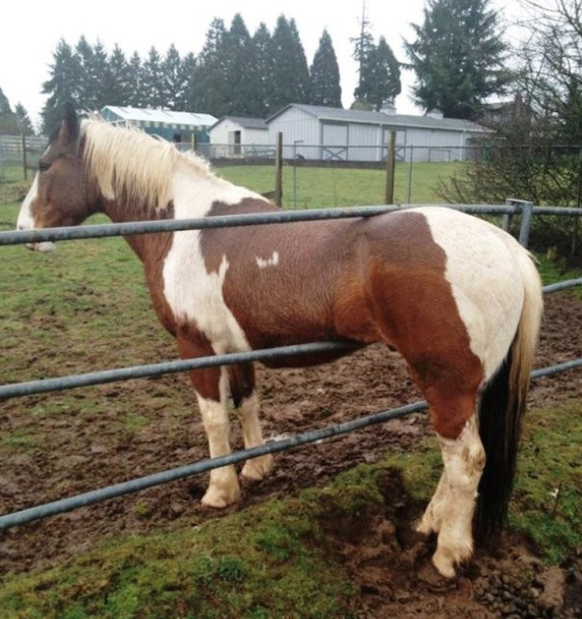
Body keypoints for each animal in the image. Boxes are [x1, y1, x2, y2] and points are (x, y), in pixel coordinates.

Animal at [18, 108, 548, 580]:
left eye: (44, 164)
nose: (24, 232)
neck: (184, 224)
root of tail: (504, 245)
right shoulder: (238, 347)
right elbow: (247, 405)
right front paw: (255, 470)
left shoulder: (196, 347)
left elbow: (214, 419)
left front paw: (219, 491)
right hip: (463, 385)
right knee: (454, 457)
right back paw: (429, 523)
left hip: (446, 381)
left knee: (467, 459)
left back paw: (449, 554)